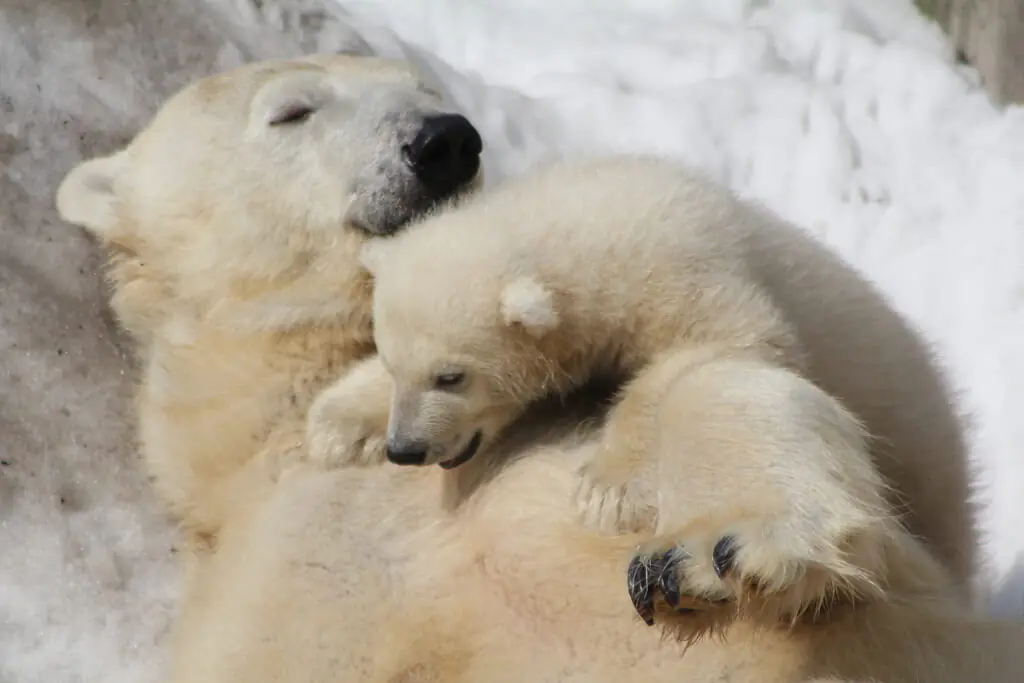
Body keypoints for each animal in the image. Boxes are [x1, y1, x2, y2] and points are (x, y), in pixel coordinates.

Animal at [315, 154, 978, 614]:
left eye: (451, 377)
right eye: (392, 363)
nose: (407, 449)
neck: (596, 216)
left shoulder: (688, 270)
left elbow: (726, 344)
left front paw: (606, 488)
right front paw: (338, 422)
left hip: (928, 471)